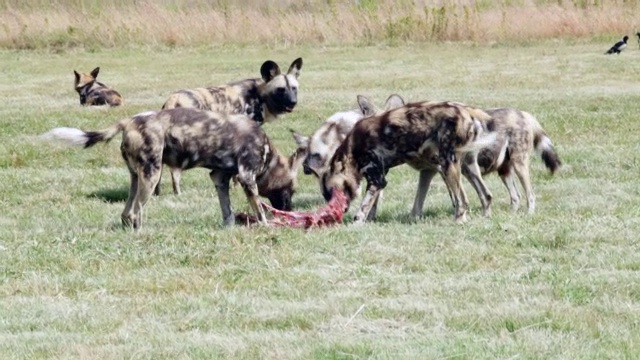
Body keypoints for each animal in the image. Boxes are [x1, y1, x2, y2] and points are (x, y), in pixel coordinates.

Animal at [43, 108, 308, 229]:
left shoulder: (219, 177)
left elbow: (227, 211)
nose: (290, 210)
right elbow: (259, 210)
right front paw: (266, 226)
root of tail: (130, 121)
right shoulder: (246, 177)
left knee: (126, 212)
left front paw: (229, 227)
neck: (268, 155)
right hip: (152, 175)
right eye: (290, 190)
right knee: (136, 212)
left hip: (137, 178)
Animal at [159, 57, 302, 195]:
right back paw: (177, 193)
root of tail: (173, 99)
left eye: (294, 88)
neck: (260, 96)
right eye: (280, 89)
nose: (293, 102)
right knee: (174, 171)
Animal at [320, 99, 496, 222]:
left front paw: (356, 223)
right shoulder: (379, 178)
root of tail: (466, 110)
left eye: (333, 193)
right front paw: (369, 220)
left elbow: (363, 207)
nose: (340, 211)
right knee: (485, 195)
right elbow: (372, 206)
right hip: (466, 167)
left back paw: (458, 222)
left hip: (448, 165)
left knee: (462, 202)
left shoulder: (377, 180)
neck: (352, 149)